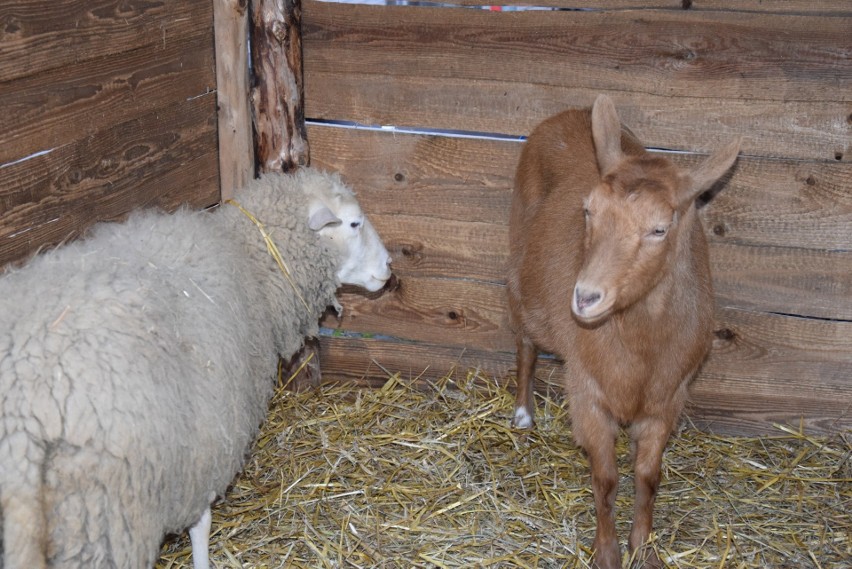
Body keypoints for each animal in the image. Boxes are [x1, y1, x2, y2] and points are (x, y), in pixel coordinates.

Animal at [0, 168, 392, 568]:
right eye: (355, 223)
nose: (389, 266)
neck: (248, 257)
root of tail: (19, 423)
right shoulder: (206, 439)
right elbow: (201, 524)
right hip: (103, 517)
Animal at [506, 95, 740, 564]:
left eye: (659, 229)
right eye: (588, 211)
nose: (584, 297)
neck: (640, 342)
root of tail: (572, 112)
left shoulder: (667, 398)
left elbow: (648, 476)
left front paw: (644, 550)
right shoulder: (588, 393)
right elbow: (606, 479)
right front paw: (606, 554)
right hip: (520, 261)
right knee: (524, 335)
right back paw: (523, 411)